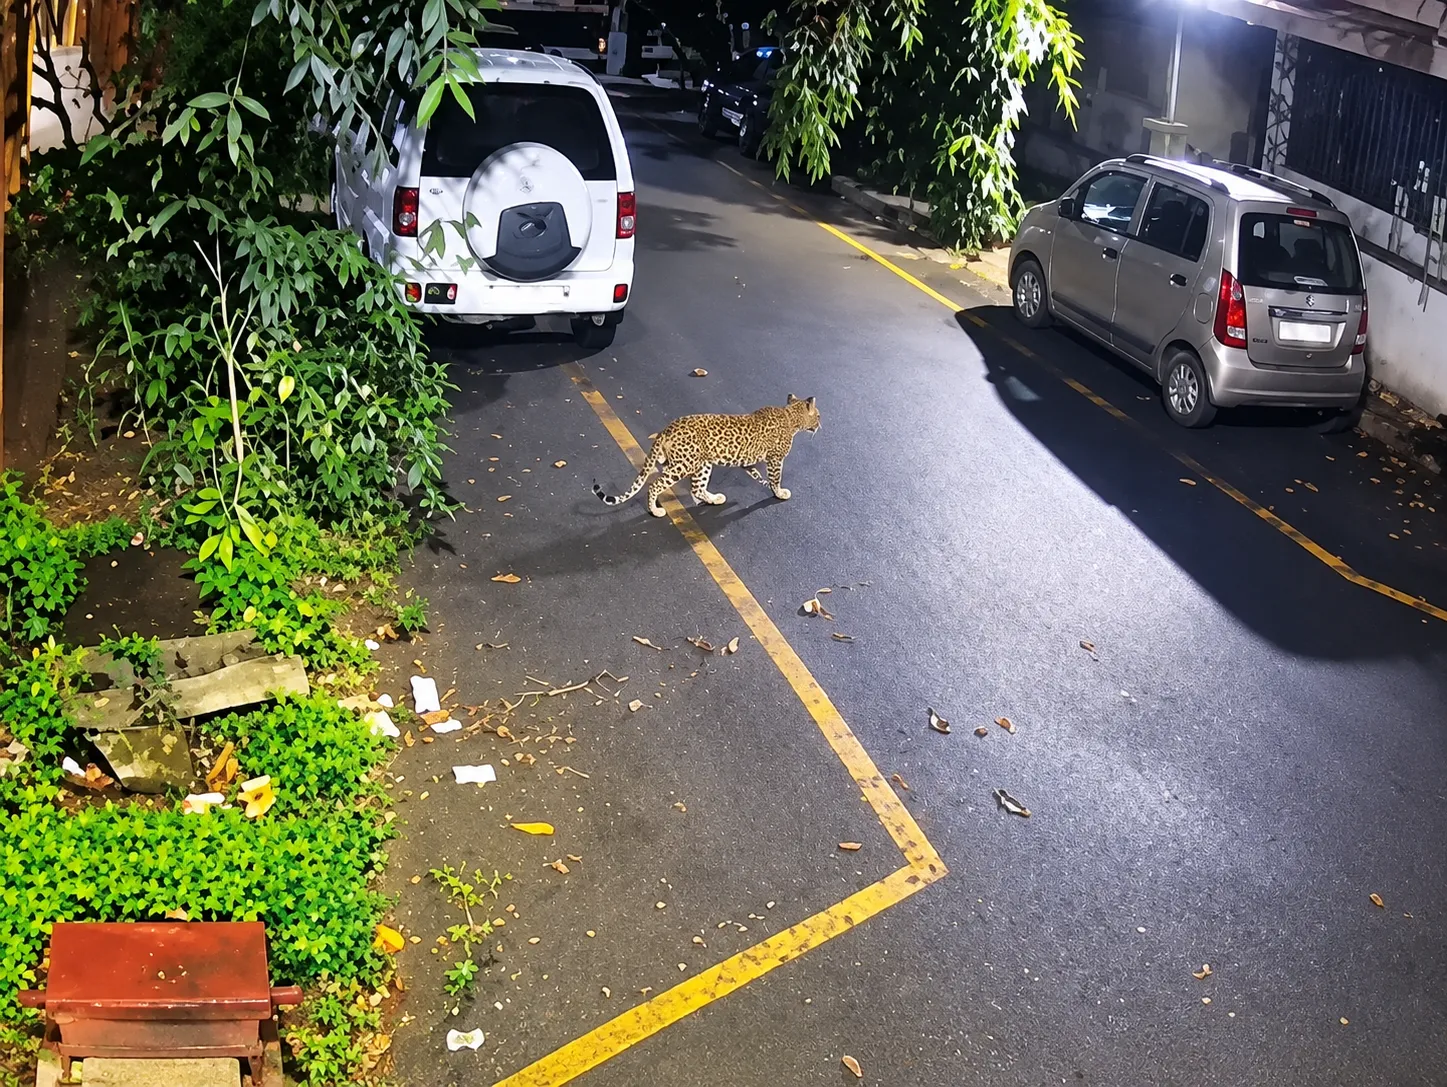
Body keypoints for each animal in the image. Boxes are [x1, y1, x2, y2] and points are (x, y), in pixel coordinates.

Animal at [592, 394, 821, 517]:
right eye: (818, 415)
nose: (820, 424)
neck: (791, 417)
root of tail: (667, 429)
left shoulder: (747, 461)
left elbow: (756, 474)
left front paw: (765, 484)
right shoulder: (775, 458)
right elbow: (775, 477)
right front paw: (779, 493)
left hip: (702, 464)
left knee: (697, 488)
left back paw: (714, 498)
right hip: (682, 465)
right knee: (655, 484)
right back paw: (655, 511)